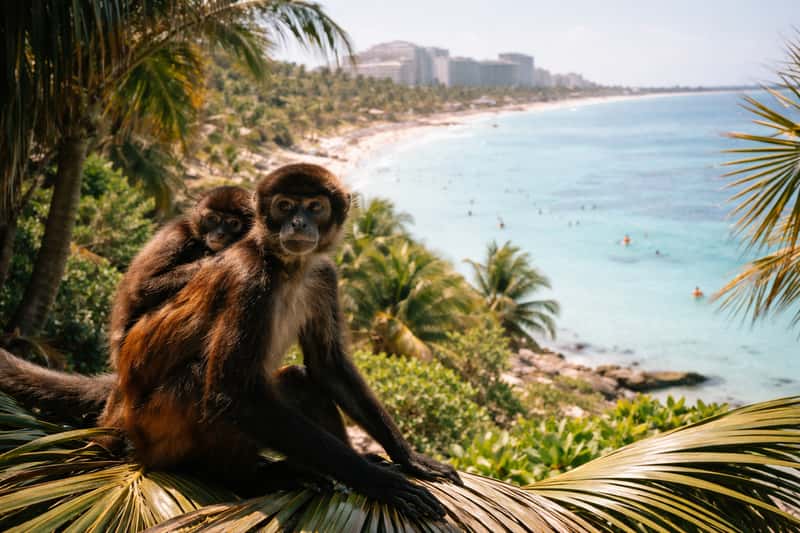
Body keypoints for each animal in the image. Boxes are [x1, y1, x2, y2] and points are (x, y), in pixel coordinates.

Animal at [103, 163, 459, 519]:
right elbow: (232, 394)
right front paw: (380, 482)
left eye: (315, 207)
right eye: (285, 206)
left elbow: (327, 366)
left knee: (297, 378)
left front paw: (409, 459)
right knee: (201, 378)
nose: (299, 222)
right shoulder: (249, 277)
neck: (287, 269)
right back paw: (245, 478)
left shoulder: (323, 274)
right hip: (158, 431)